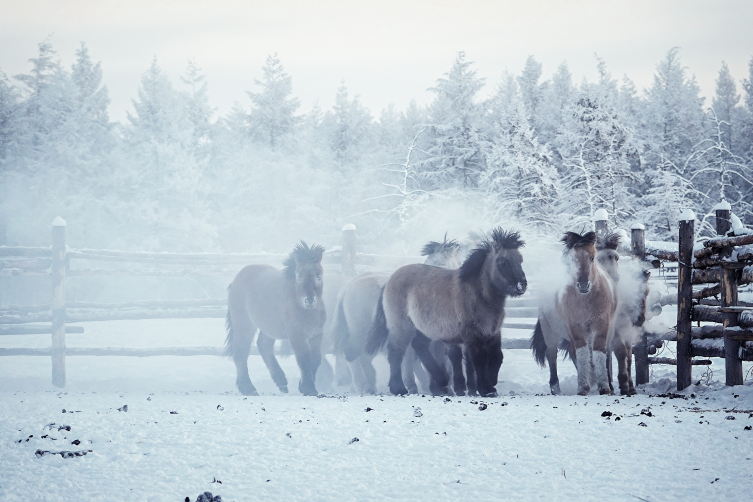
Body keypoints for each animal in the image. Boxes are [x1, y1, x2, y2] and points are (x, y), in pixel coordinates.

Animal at [225, 241, 328, 398]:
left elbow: (315, 359)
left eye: (319, 275)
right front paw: (309, 388)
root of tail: (236, 280)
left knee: (263, 345)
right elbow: (303, 359)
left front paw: (303, 386)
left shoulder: (316, 335)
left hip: (268, 326)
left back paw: (281, 382)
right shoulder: (296, 335)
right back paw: (248, 388)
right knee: (240, 351)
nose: (309, 299)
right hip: (244, 324)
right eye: (299, 275)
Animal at [364, 229, 524, 398]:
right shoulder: (473, 335)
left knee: (420, 346)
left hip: (423, 328)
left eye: (520, 259)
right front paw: (485, 389)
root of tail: (389, 280)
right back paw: (399, 388)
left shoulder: (493, 333)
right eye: (502, 261)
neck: (479, 295)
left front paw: (490, 384)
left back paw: (441, 380)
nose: (522, 285)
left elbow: (496, 356)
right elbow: (478, 360)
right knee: (396, 351)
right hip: (402, 326)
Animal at [528, 231, 616, 396]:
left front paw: (604, 386)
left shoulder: (602, 326)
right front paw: (583, 387)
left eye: (592, 257)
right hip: (549, 330)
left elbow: (600, 353)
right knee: (552, 355)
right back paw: (555, 388)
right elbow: (582, 354)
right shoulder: (575, 327)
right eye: (573, 259)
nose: (583, 285)